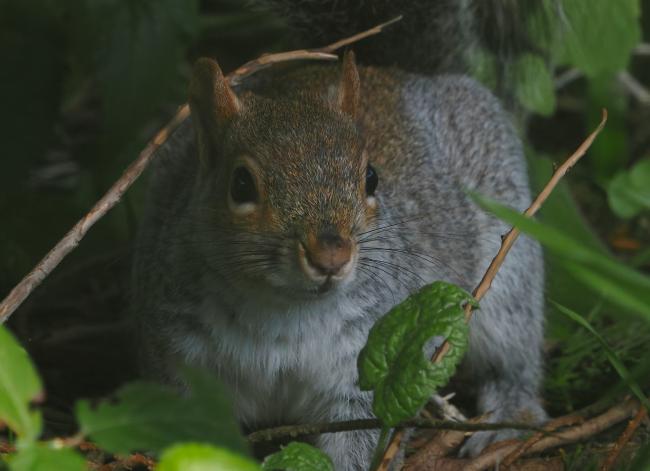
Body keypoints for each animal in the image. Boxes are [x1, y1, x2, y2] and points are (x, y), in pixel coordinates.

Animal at [133, 1, 553, 468]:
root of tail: (397, 72)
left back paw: (508, 416)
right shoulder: (183, 361)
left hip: (508, 274)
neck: (283, 312)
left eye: (371, 178)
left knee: (512, 359)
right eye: (240, 185)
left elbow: (359, 443)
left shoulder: (368, 368)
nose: (330, 256)